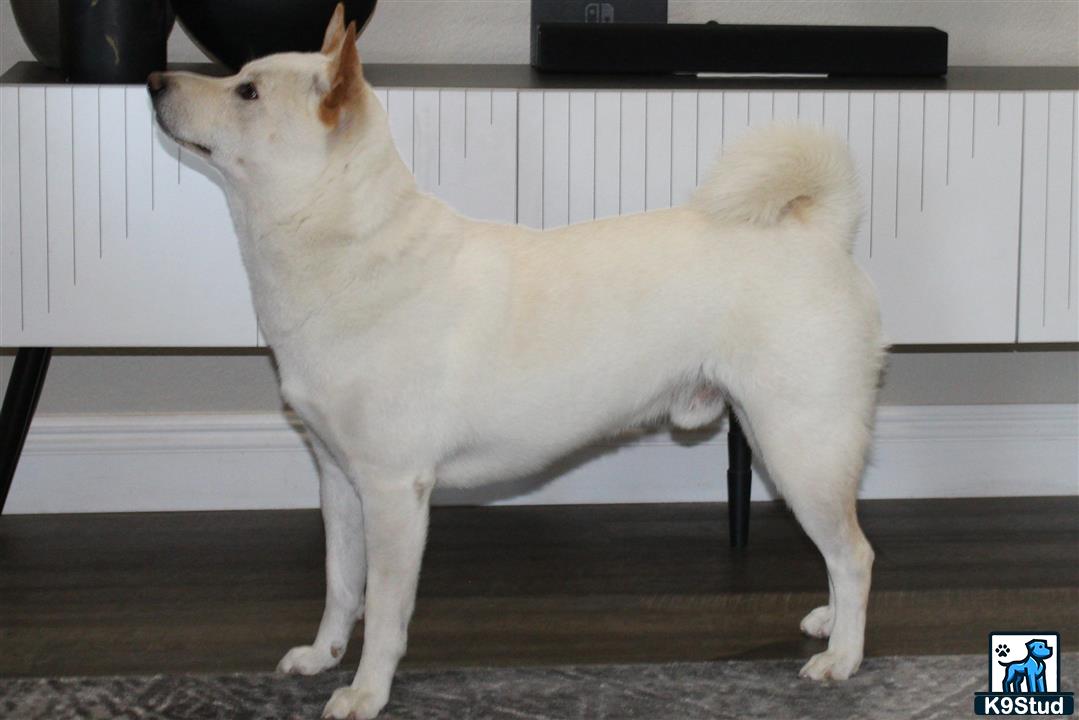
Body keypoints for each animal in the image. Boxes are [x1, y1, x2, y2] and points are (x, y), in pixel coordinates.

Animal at [149, 4, 884, 716]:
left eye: (247, 91)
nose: (154, 80)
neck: (344, 248)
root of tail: (818, 231)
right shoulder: (338, 480)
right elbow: (341, 586)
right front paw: (323, 655)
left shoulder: (393, 489)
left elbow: (384, 610)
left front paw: (366, 692)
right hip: (779, 440)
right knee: (837, 553)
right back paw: (829, 623)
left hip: (799, 445)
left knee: (854, 553)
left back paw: (843, 656)